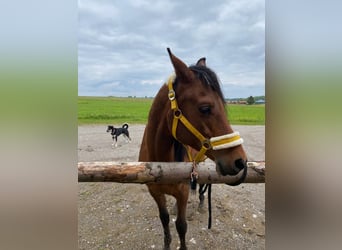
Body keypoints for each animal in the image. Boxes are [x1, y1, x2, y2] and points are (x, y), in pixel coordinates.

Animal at [138, 48, 247, 250]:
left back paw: (203, 203)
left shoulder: (183, 192)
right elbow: (164, 219)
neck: (160, 164)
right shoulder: (155, 193)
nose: (240, 161)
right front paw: (166, 243)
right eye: (205, 108)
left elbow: (181, 225)